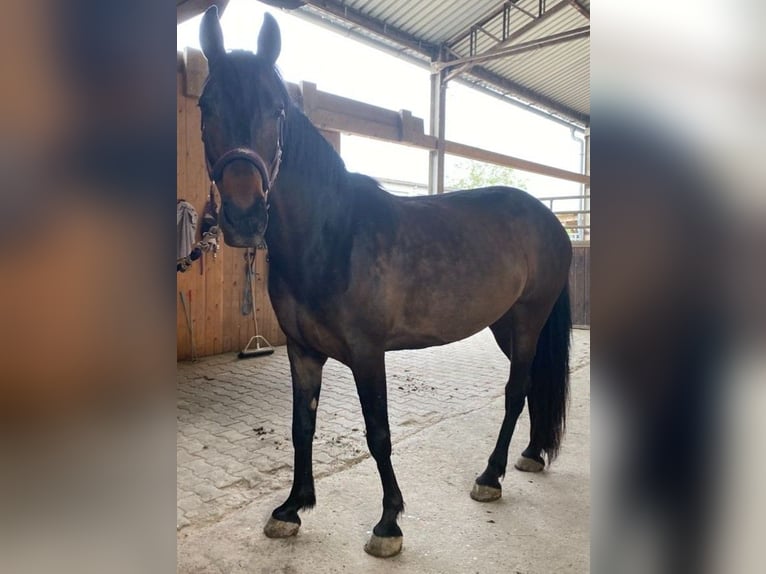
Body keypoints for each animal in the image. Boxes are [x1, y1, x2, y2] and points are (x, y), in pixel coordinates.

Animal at [197, 6, 572, 558]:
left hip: (528, 319)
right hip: (506, 324)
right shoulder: (302, 352)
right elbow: (301, 426)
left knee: (515, 389)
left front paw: (389, 522)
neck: (332, 236)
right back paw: (530, 453)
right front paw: (292, 508)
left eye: (277, 109)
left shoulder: (367, 352)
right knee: (530, 387)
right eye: (206, 105)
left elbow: (378, 433)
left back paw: (490, 476)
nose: (245, 216)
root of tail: (548, 220)